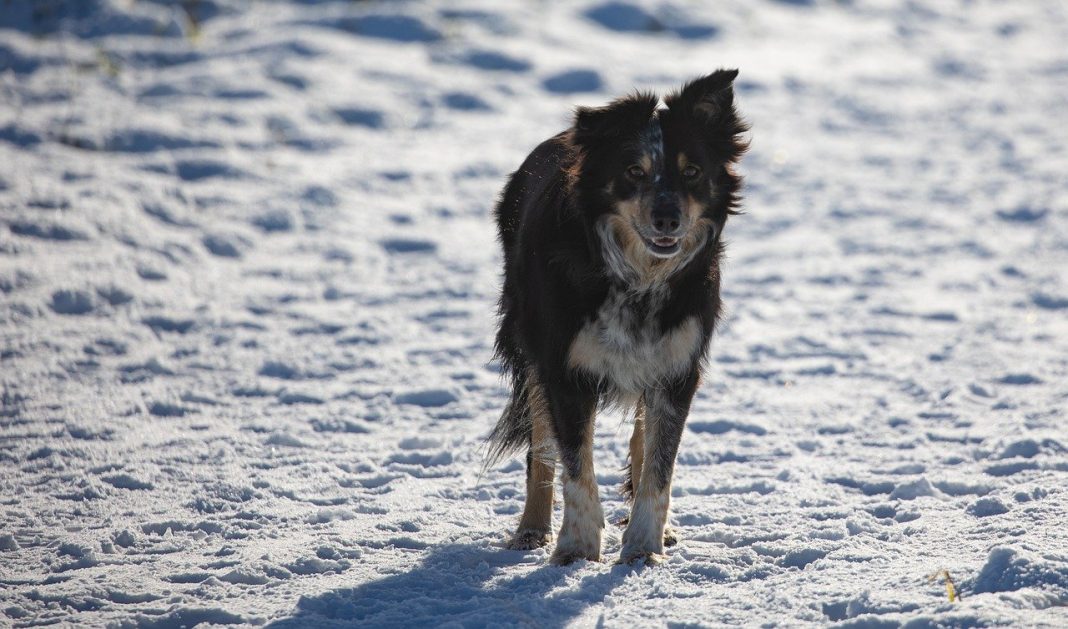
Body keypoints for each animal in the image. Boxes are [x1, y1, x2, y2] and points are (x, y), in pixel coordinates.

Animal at [487, 69, 747, 563]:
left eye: (692, 171)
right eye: (633, 171)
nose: (667, 219)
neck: (637, 277)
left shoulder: (677, 365)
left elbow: (661, 465)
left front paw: (644, 547)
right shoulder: (563, 367)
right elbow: (574, 463)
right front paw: (576, 548)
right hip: (530, 344)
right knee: (540, 448)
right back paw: (532, 529)